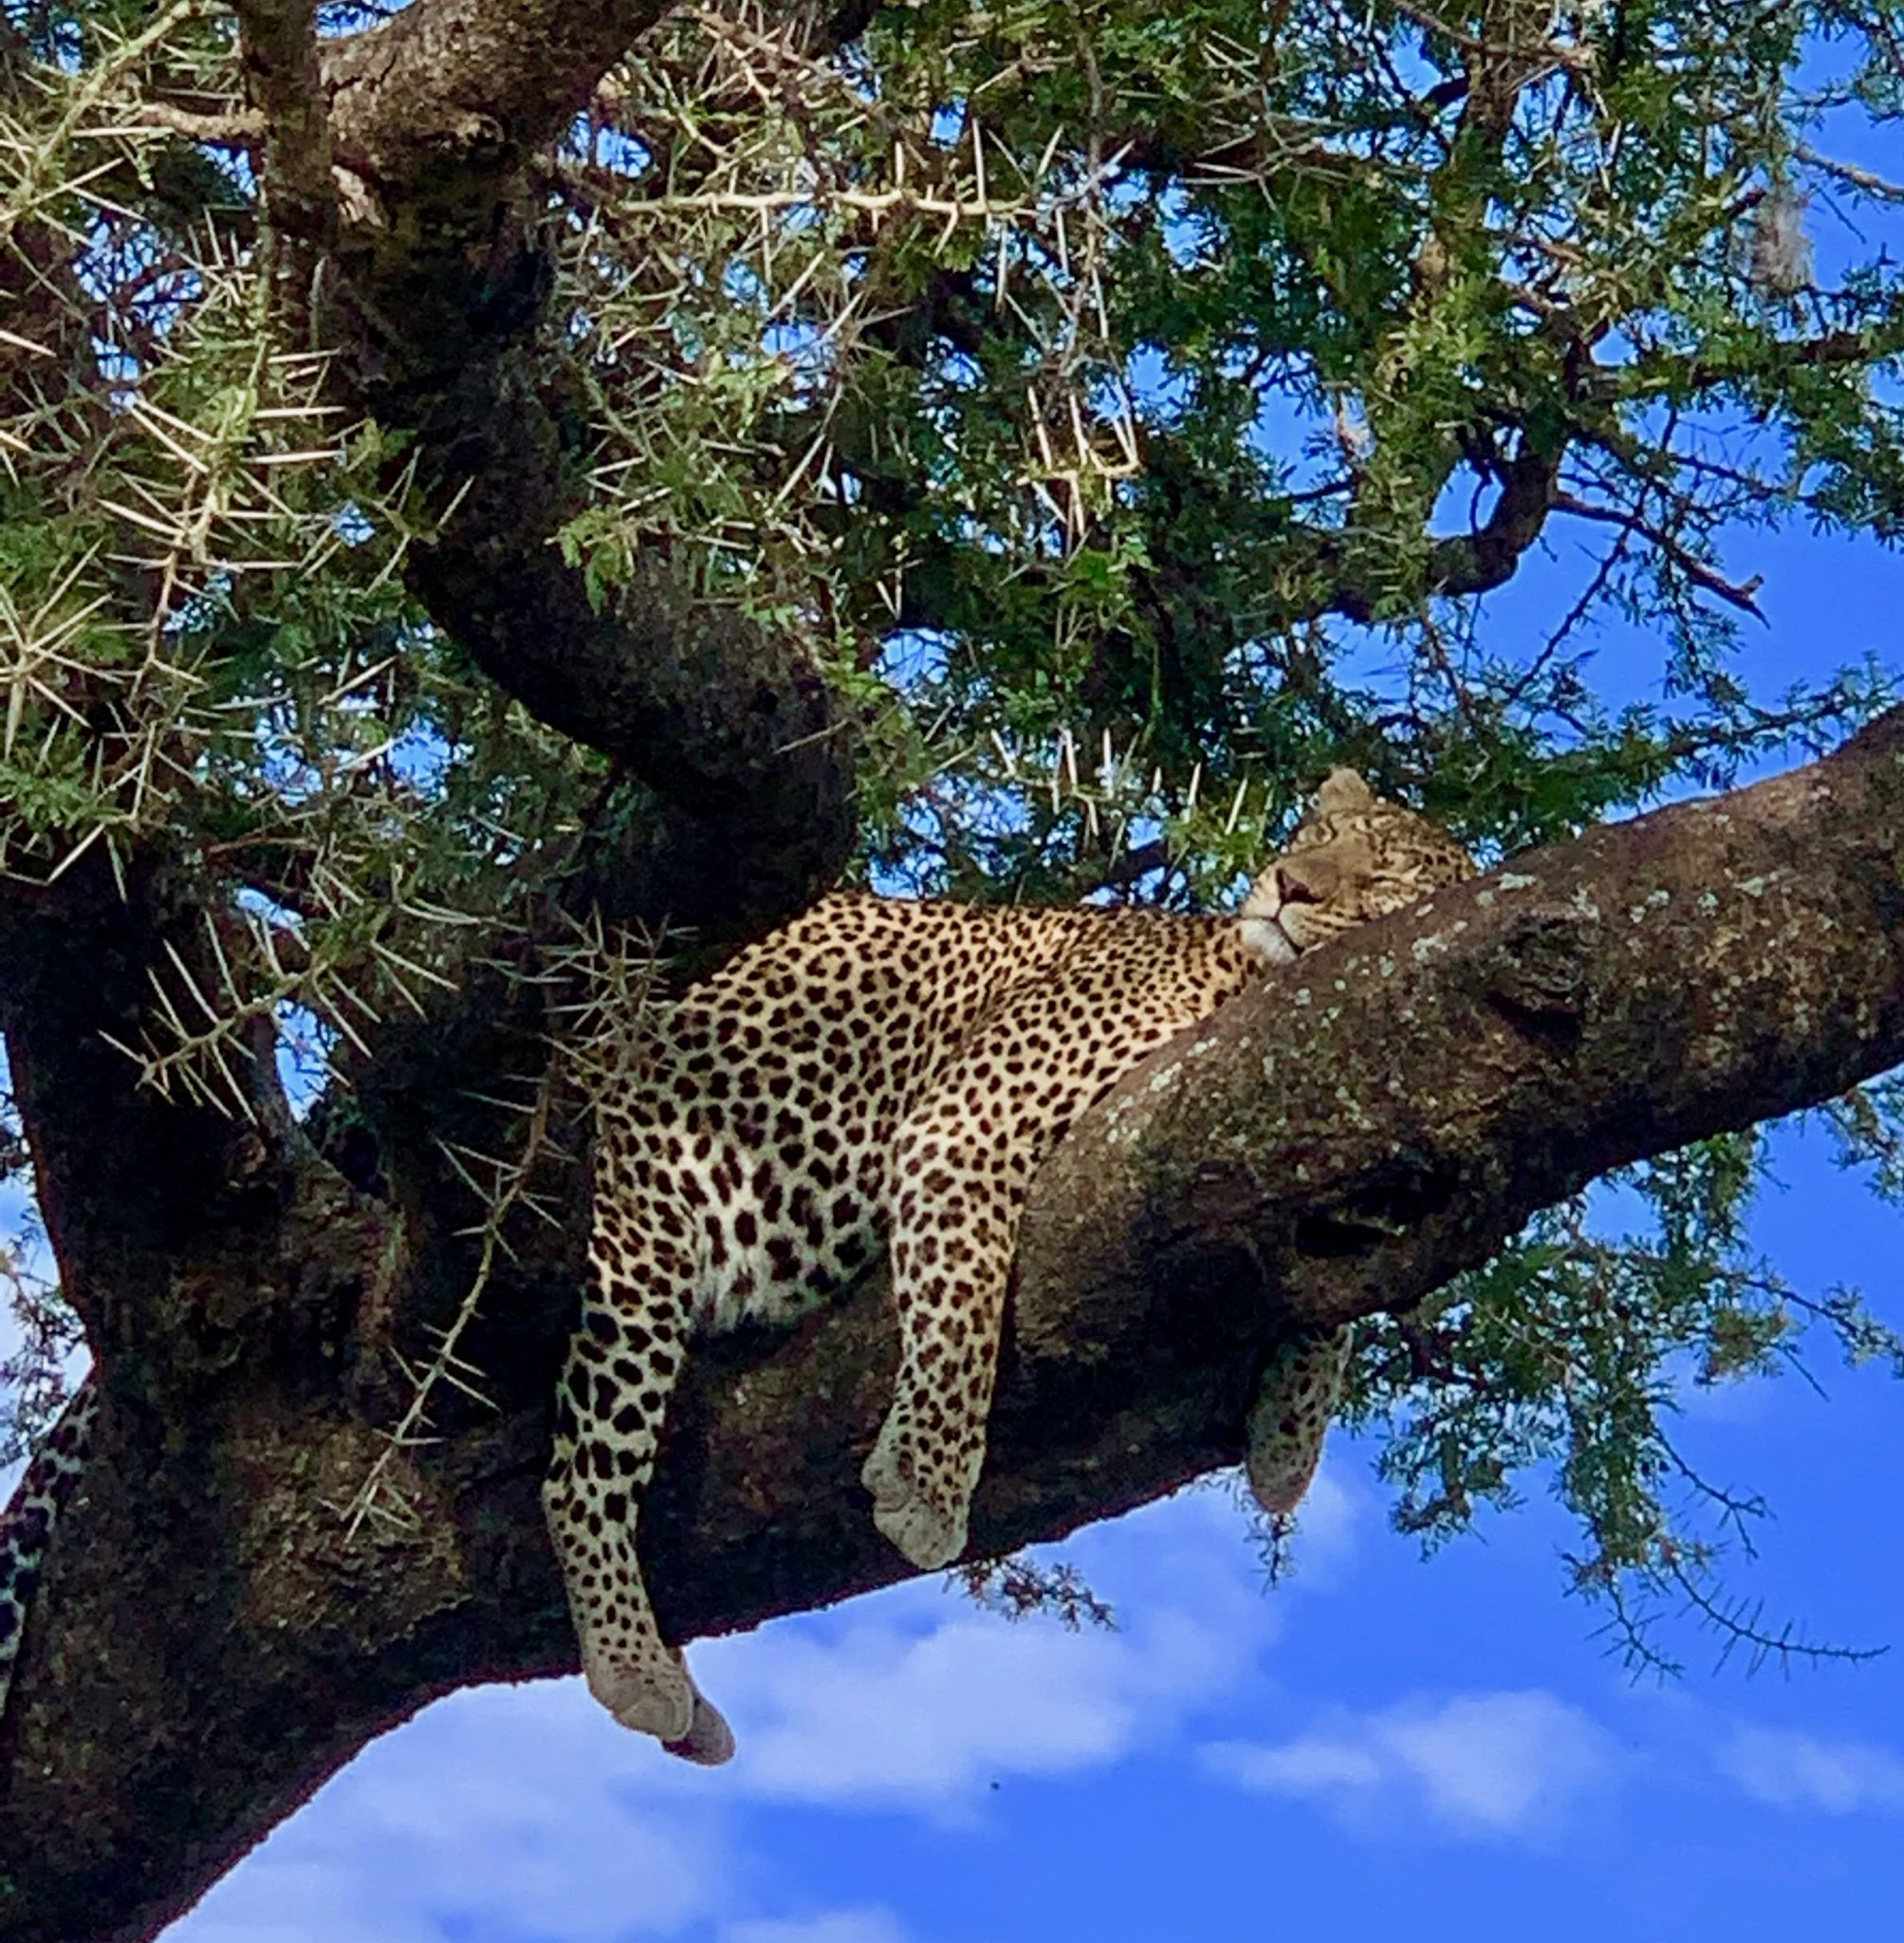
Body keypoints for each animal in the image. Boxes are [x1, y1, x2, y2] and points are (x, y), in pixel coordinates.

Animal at [548, 767, 1475, 1766]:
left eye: (1381, 877)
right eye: (1317, 838)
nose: (1286, 885)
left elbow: (1330, 1287)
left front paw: (1285, 1443)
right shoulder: (964, 1123)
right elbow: (965, 1310)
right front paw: (925, 1487)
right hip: (633, 1242)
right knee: (575, 1481)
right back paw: (634, 1665)